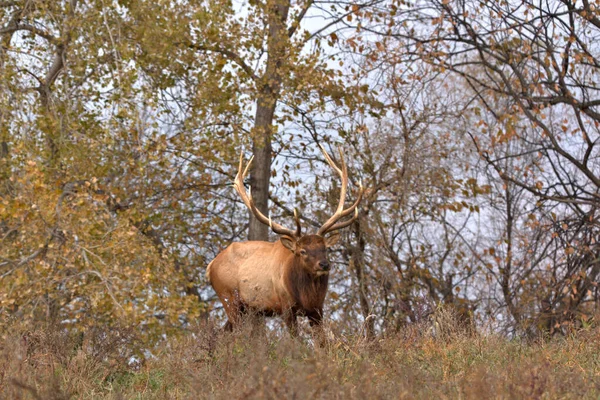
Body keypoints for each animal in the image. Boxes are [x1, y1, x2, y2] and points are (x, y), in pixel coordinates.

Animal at [206, 145, 366, 334]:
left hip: (245, 308)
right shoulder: (285, 306)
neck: (306, 296)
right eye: (302, 251)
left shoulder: (317, 309)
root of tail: (210, 267)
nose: (324, 264)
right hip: (229, 298)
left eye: (325, 248)